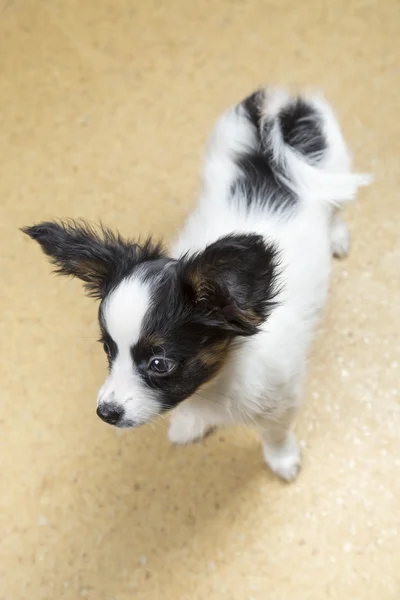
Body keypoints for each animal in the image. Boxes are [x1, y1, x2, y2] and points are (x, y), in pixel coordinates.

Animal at [23, 86, 370, 480]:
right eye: (108, 349)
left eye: (160, 364)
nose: (105, 413)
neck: (218, 380)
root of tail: (274, 109)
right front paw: (190, 426)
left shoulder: (281, 401)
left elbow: (275, 435)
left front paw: (283, 461)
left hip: (336, 170)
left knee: (337, 208)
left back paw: (337, 237)